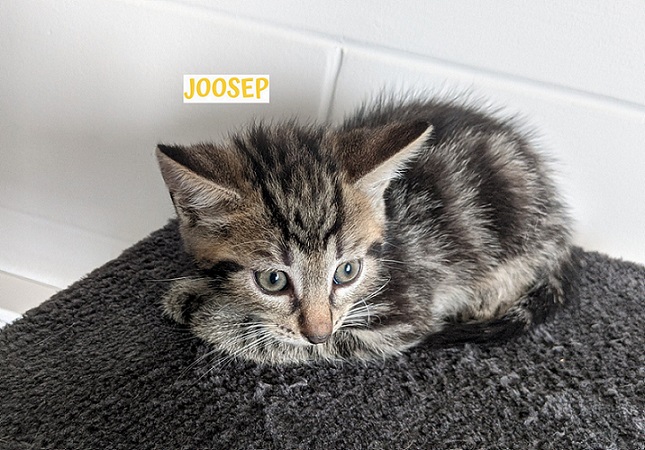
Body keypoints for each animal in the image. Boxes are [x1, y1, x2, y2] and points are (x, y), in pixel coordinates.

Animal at [156, 96, 579, 365]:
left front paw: (208, 313)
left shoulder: (403, 318)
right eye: (273, 280)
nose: (318, 331)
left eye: (347, 272)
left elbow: (296, 343)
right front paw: (199, 290)